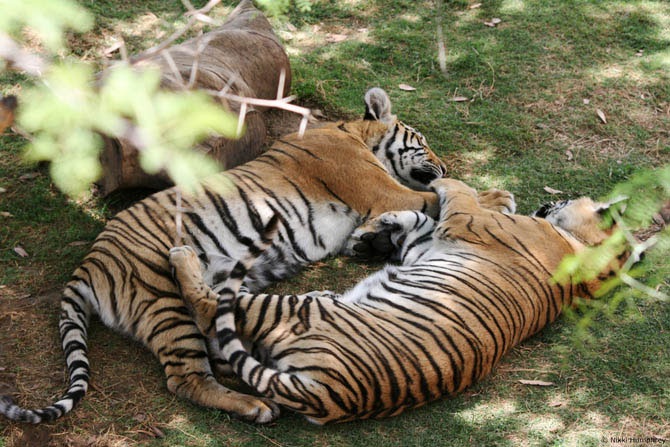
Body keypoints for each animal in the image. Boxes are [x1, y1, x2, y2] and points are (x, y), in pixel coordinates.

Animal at [0, 88, 449, 424]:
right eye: (424, 143)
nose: (443, 166)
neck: (352, 134)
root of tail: (88, 262)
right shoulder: (384, 191)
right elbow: (436, 200)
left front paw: (372, 242)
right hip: (163, 300)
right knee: (186, 377)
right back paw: (255, 407)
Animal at [165, 178, 624, 424]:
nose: (554, 198)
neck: (582, 258)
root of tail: (326, 395)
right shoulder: (427, 246)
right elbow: (418, 219)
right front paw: (378, 231)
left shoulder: (464, 220)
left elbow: (454, 189)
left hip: (290, 311)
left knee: (213, 307)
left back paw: (184, 256)